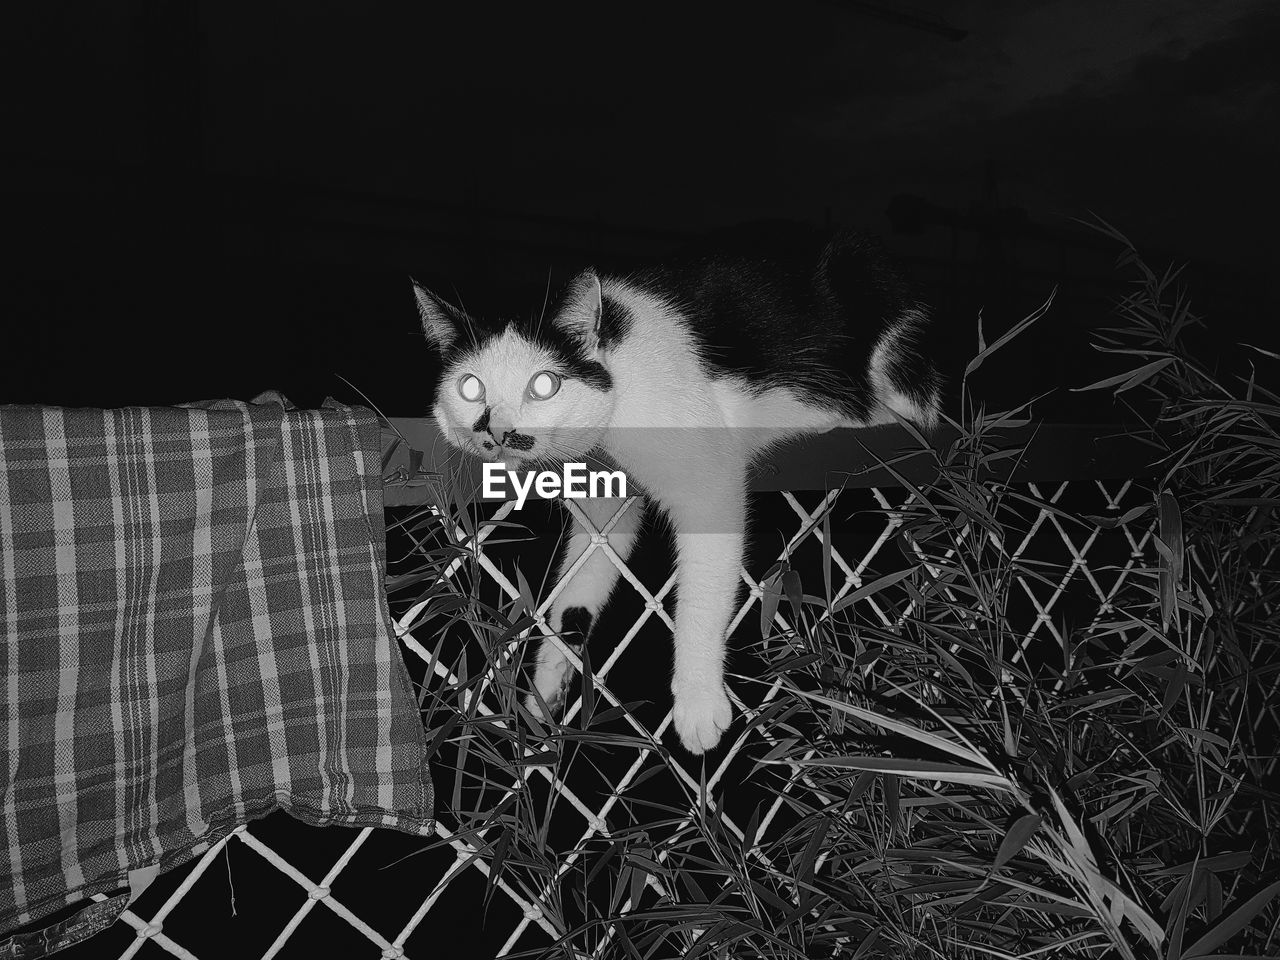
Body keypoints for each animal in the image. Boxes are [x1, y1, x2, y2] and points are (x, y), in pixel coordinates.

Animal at [412, 221, 942, 757]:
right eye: (470, 387)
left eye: (544, 385)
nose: (497, 430)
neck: (619, 379)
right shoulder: (602, 513)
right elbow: (576, 595)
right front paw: (546, 690)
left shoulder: (708, 486)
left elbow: (702, 598)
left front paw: (698, 705)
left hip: (876, 299)